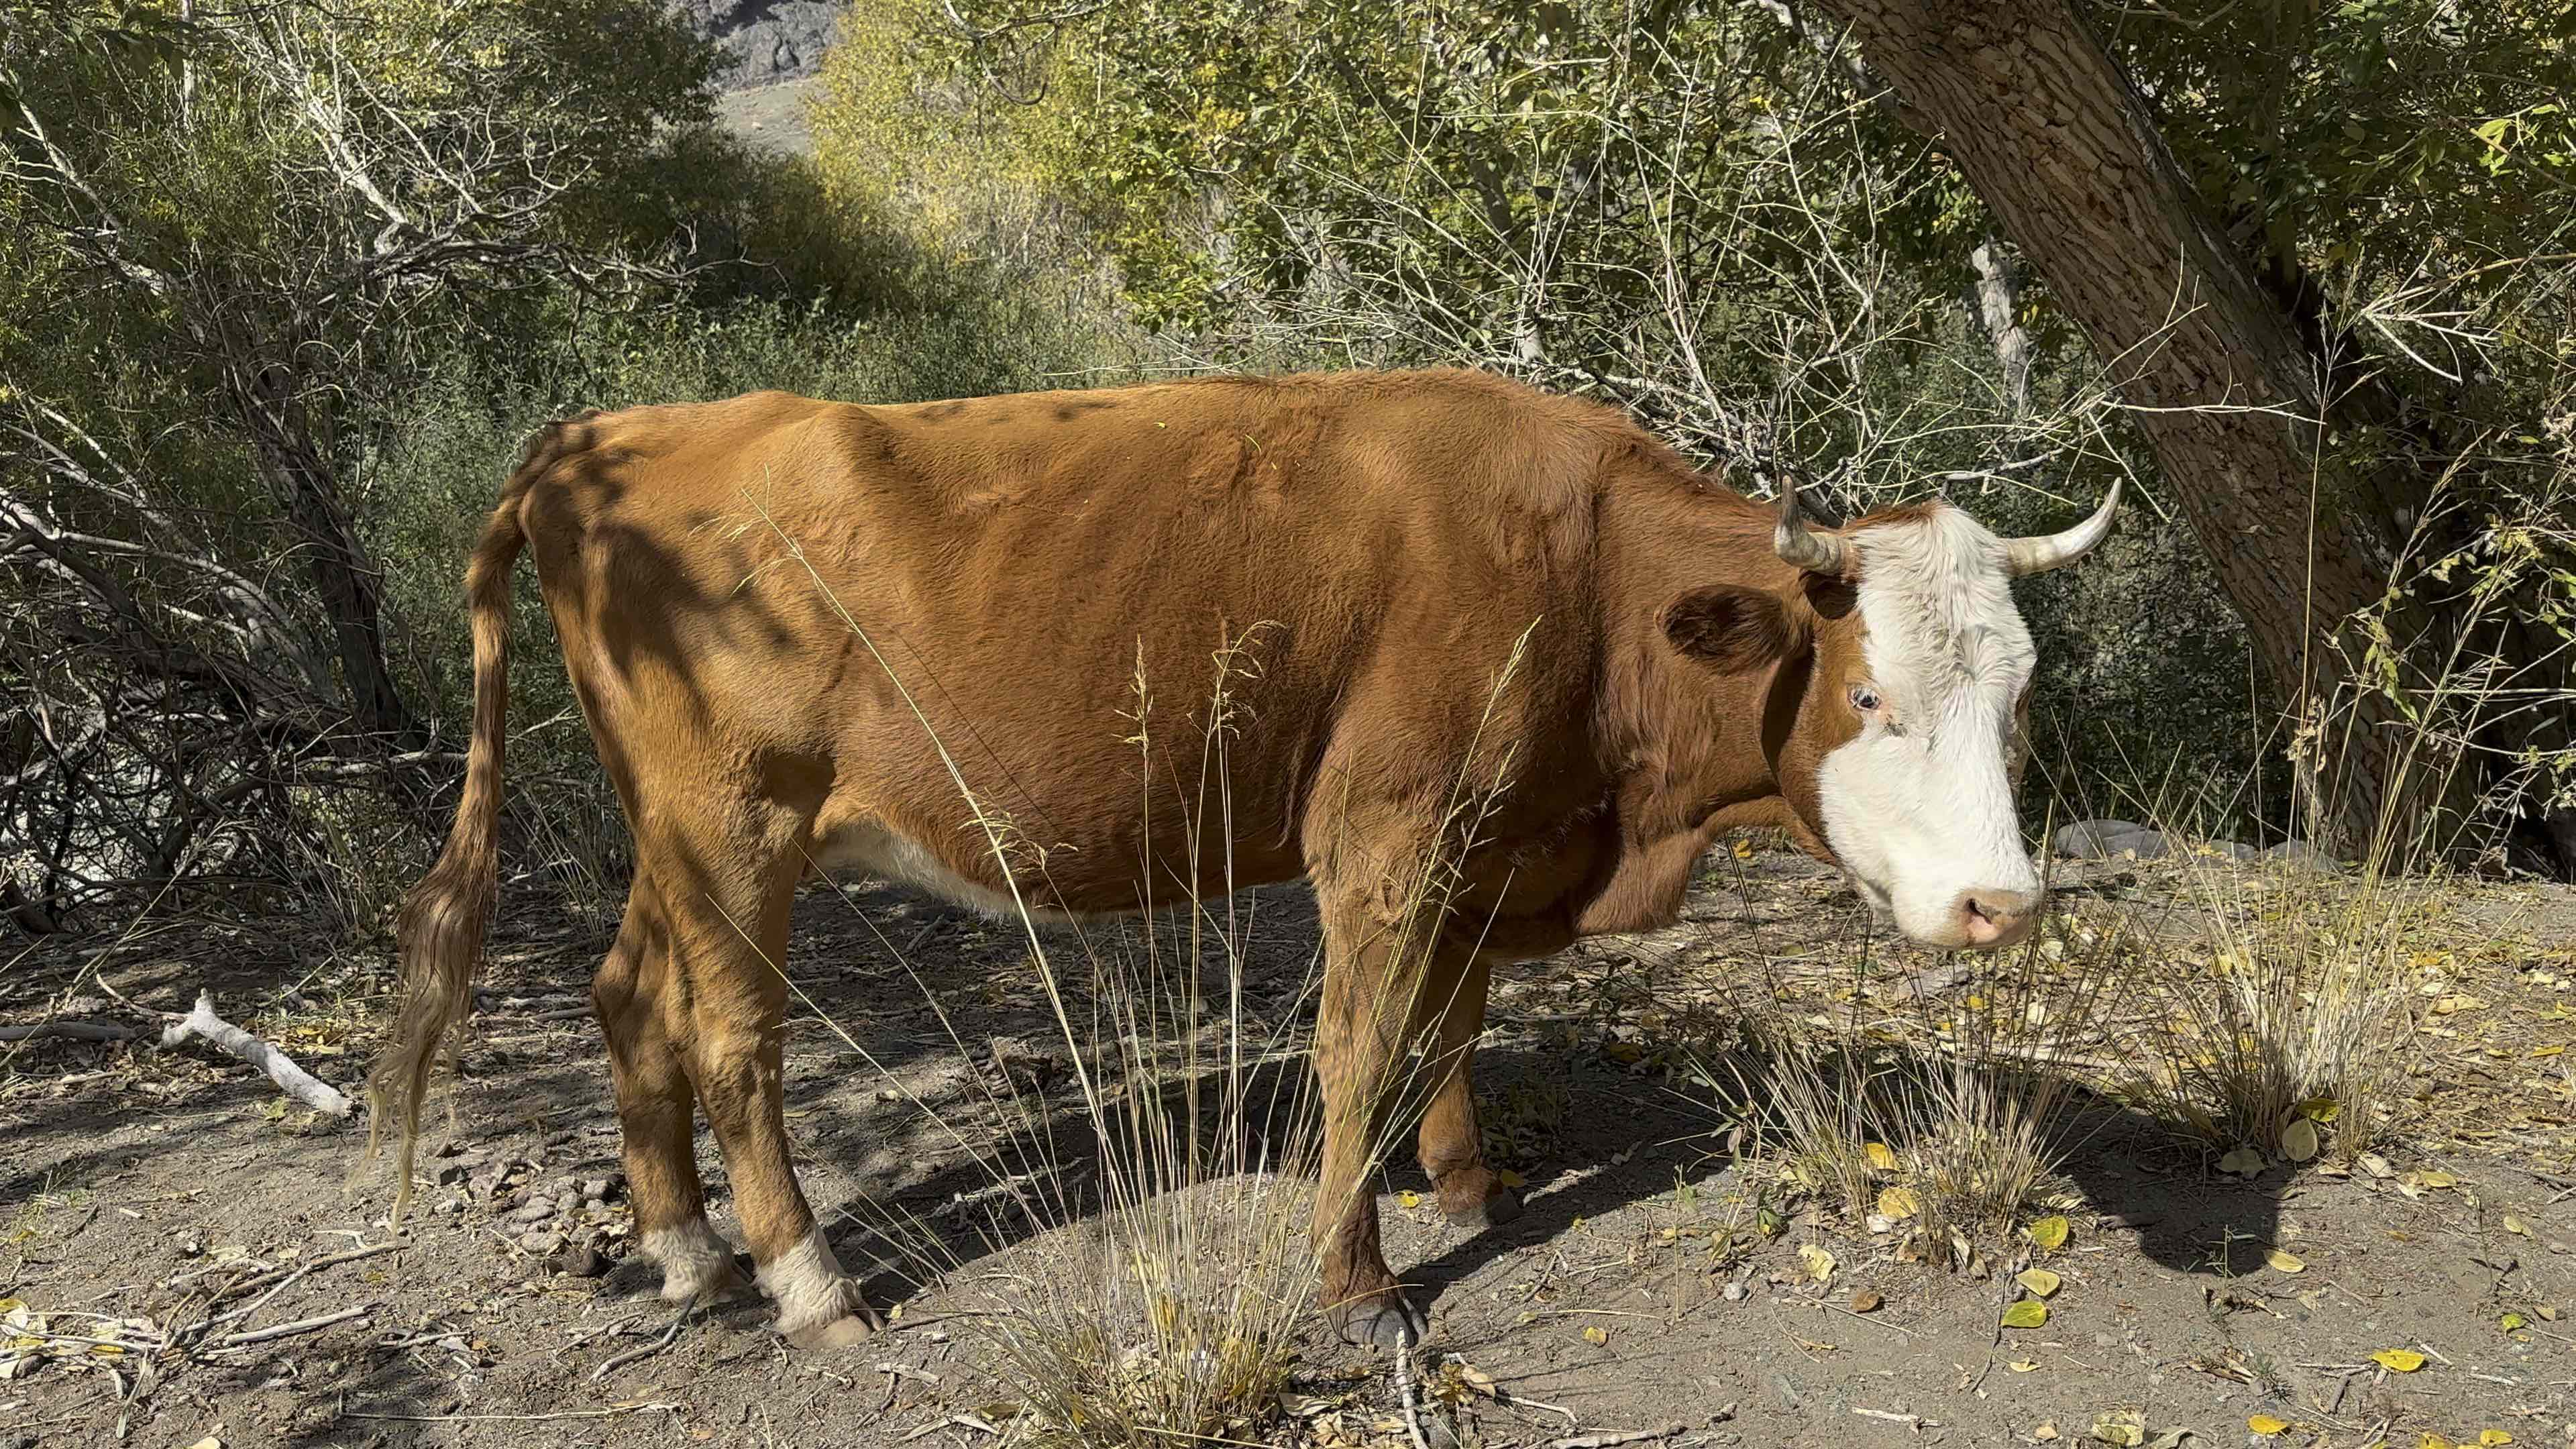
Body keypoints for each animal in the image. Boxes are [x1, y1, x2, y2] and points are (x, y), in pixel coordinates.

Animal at [368, 361, 2112, 1340]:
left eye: (2021, 693)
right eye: (1872, 694)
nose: (1999, 904)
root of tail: (603, 434)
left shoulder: (1482, 839)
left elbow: (1450, 1022)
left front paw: (1461, 1179)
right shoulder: (1385, 832)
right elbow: (1358, 1040)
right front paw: (1355, 1277)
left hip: (671, 834)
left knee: (627, 1000)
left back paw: (683, 1252)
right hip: (740, 825)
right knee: (732, 1036)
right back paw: (805, 1282)